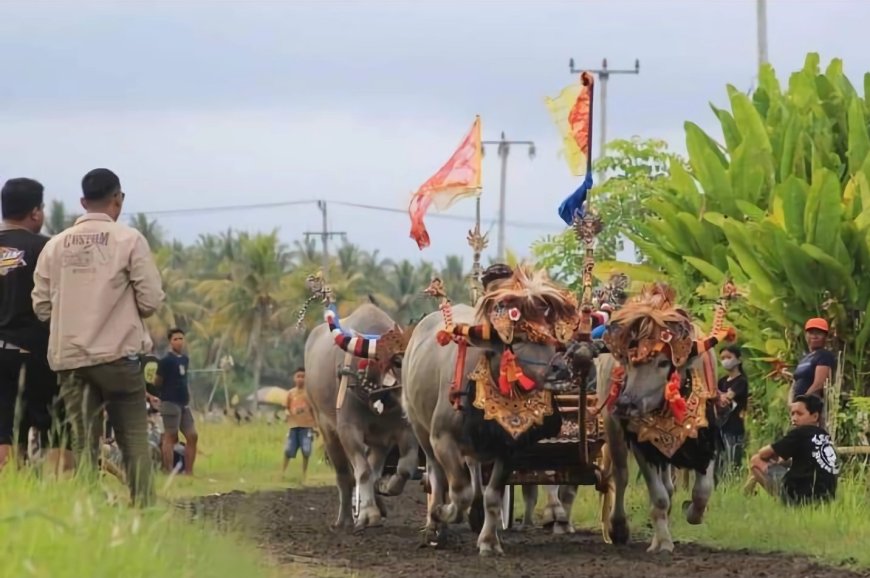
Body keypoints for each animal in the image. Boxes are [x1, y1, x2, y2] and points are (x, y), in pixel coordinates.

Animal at [304, 302, 420, 532]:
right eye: (397, 361)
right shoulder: (348, 430)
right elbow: (363, 472)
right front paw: (368, 514)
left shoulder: (401, 431)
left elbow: (404, 468)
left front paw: (387, 487)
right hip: (327, 431)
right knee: (345, 477)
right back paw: (345, 520)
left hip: (378, 442)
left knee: (373, 470)